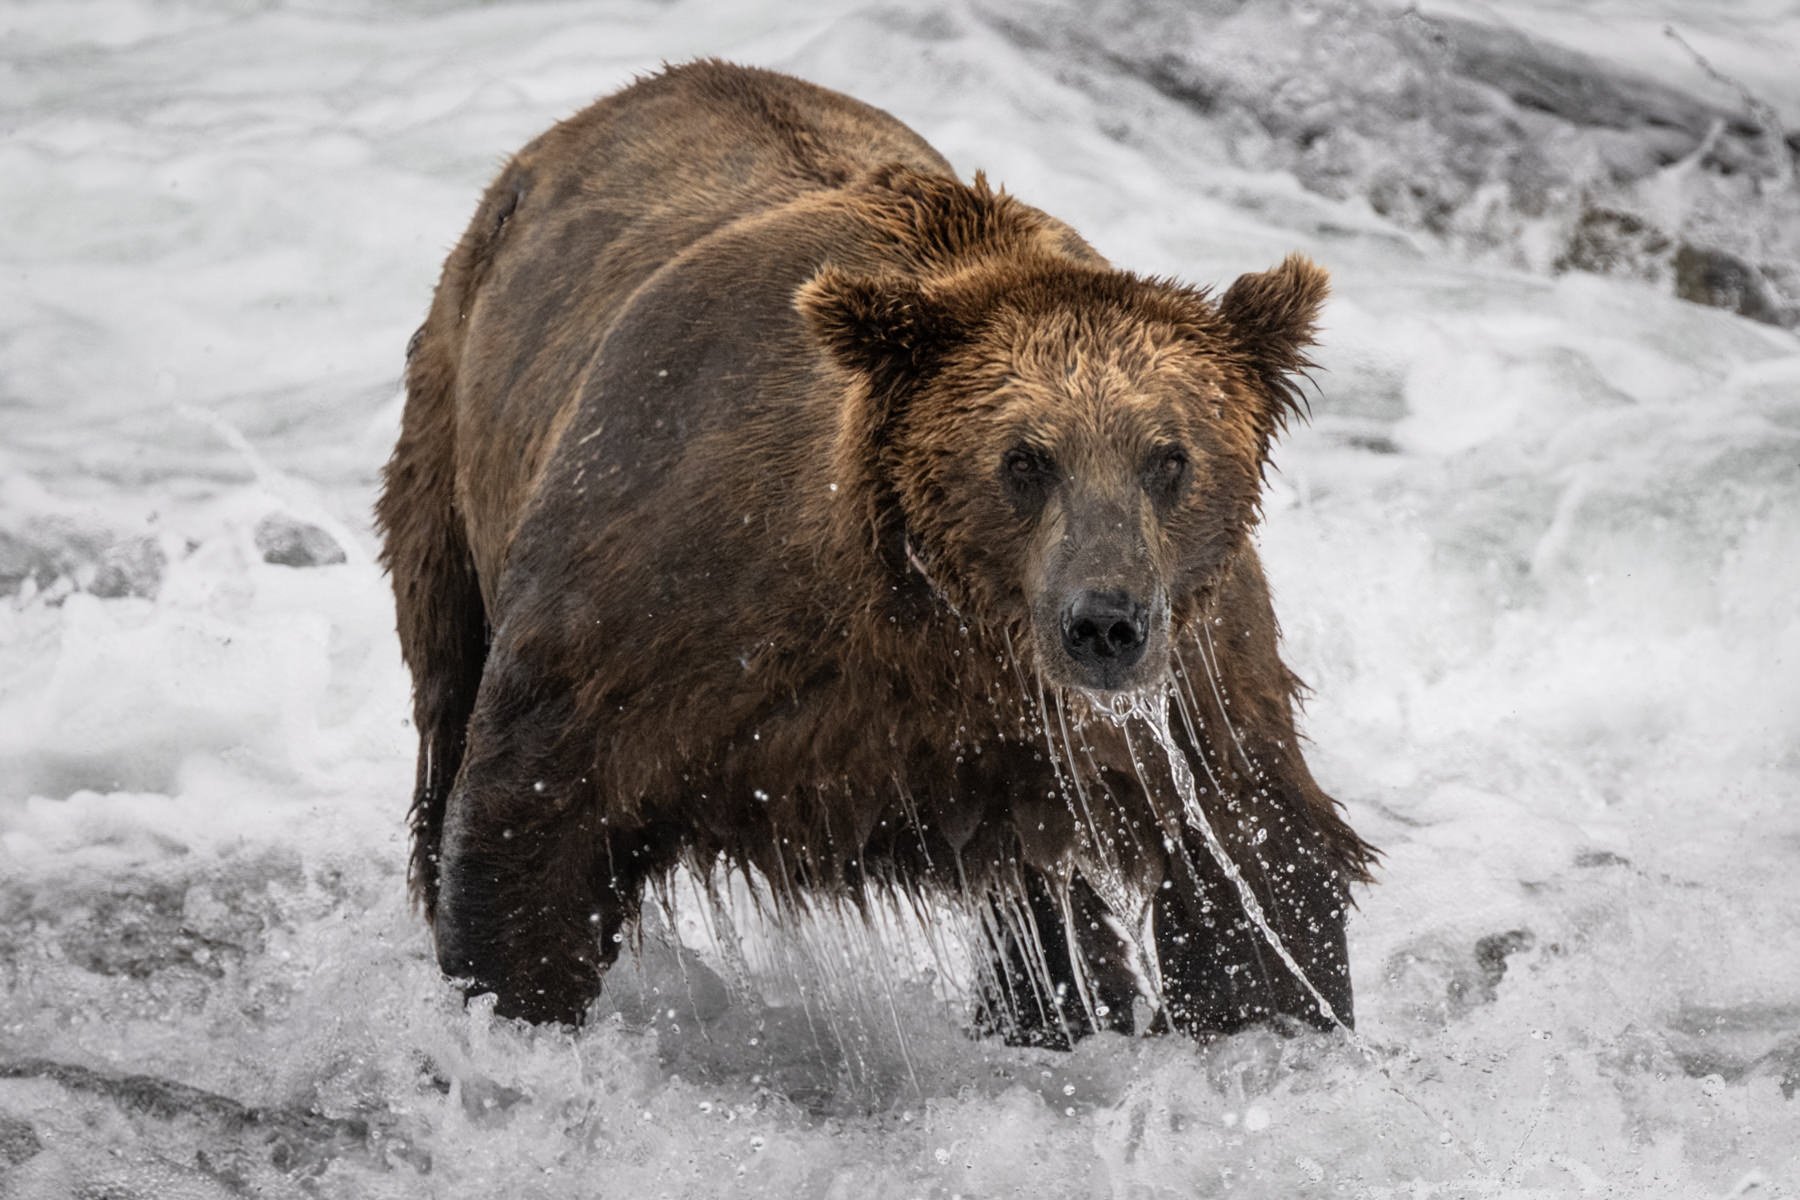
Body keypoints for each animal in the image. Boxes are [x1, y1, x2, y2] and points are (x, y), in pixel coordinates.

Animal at [372, 61, 1368, 1043]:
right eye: (1024, 460)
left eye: (1170, 458)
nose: (1104, 625)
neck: (927, 624)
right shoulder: (659, 605)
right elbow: (531, 817)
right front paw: (512, 1012)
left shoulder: (1186, 684)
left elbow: (1257, 862)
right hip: (449, 444)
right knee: (446, 688)